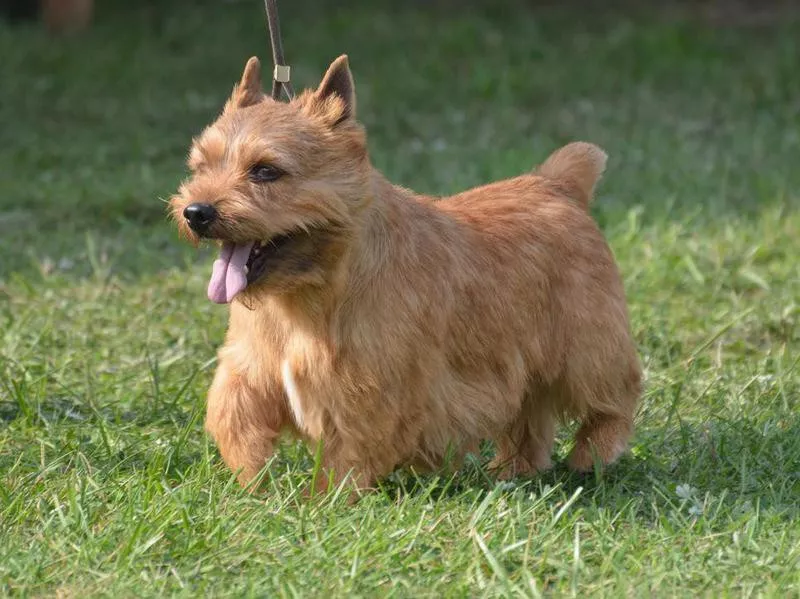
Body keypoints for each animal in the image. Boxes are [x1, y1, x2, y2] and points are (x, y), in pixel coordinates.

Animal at [170, 55, 644, 492]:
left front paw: (323, 503)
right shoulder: (251, 368)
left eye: (266, 170)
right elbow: (233, 415)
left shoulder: (361, 387)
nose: (196, 212)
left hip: (587, 349)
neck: (304, 294)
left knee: (617, 394)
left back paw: (592, 455)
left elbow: (346, 449)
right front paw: (255, 482)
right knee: (530, 419)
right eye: (201, 166)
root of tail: (557, 184)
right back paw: (514, 470)